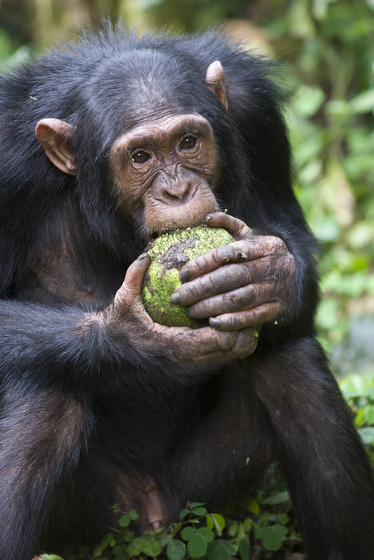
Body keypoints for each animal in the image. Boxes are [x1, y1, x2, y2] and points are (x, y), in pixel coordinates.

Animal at [0, 21, 374, 560]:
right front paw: (134, 338)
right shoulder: (5, 164)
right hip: (99, 520)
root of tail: (155, 520)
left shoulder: (255, 112)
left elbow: (292, 236)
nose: (176, 192)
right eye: (140, 157)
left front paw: (272, 277)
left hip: (204, 492)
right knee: (45, 397)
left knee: (290, 363)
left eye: (188, 142)